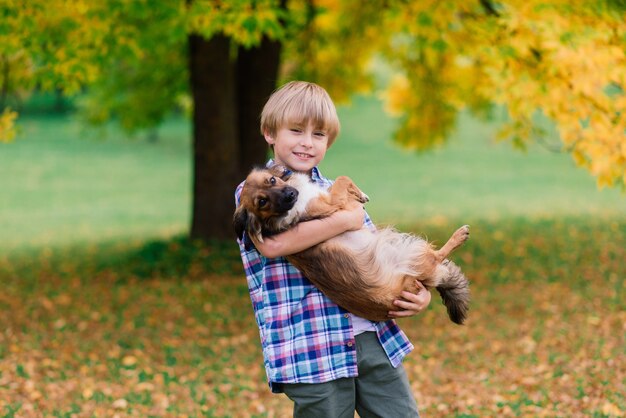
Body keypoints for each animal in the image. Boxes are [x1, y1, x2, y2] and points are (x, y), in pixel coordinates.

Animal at [233, 165, 468, 324]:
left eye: (272, 180)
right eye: (262, 202)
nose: (292, 194)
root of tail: (425, 282)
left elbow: (343, 180)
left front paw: (359, 193)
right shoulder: (333, 204)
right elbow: (342, 179)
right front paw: (360, 194)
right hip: (414, 254)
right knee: (437, 255)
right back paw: (459, 235)